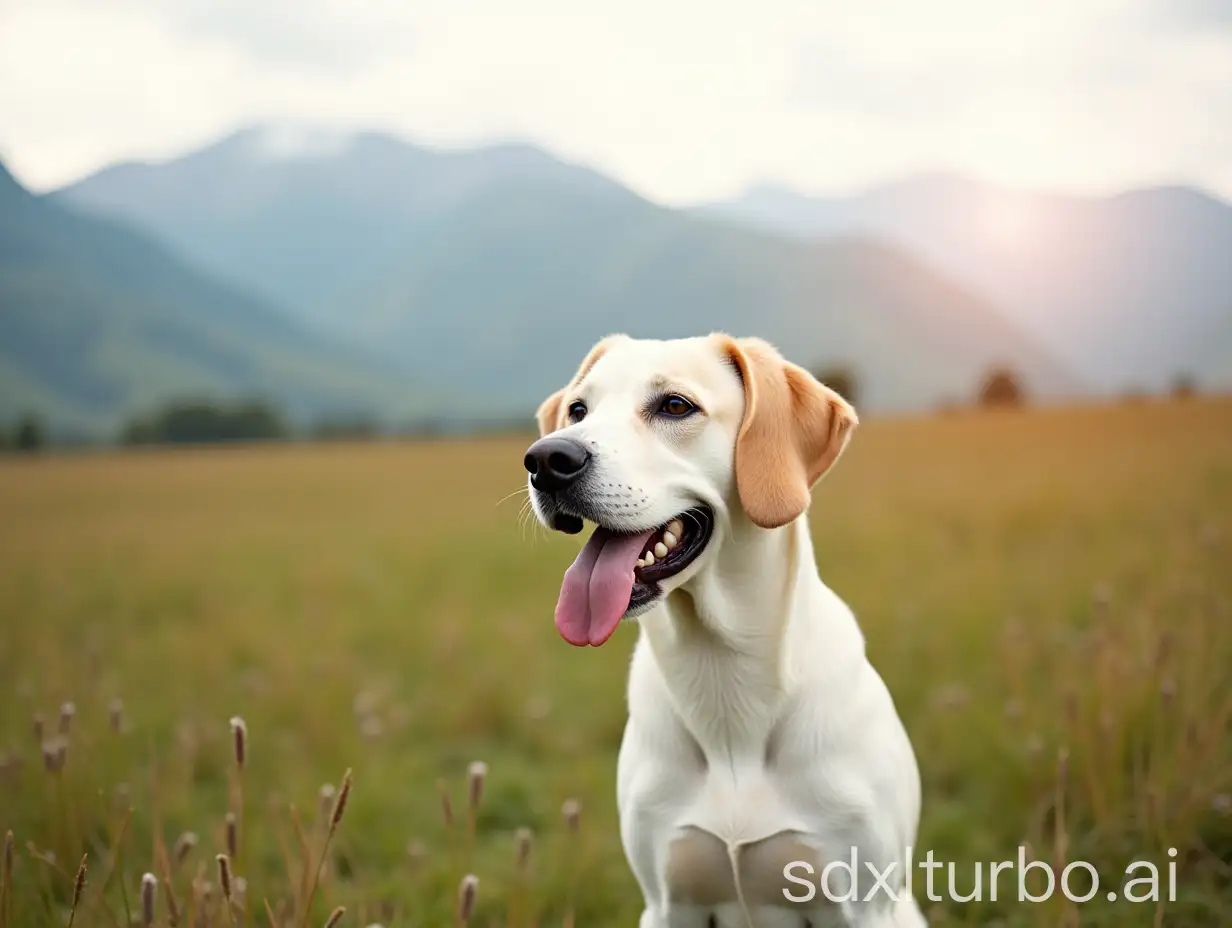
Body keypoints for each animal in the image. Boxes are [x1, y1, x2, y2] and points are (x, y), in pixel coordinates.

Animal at [522, 335, 926, 926]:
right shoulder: (667, 902)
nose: (547, 459)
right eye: (578, 410)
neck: (721, 668)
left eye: (675, 406)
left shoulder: (862, 905)